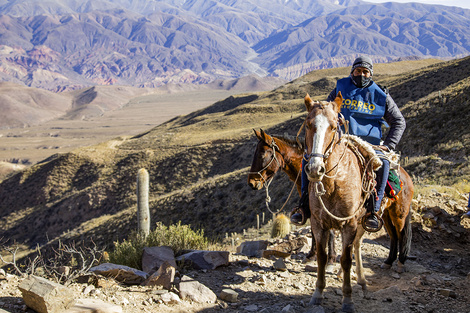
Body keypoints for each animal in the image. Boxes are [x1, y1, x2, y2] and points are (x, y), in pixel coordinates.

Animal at [302, 91, 414, 310]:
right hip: (374, 219)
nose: (315, 169)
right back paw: (366, 279)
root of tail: (405, 175)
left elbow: (346, 259)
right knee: (363, 244)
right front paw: (318, 293)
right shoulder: (319, 224)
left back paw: (398, 264)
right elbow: (322, 257)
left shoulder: (349, 224)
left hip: (397, 215)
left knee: (400, 234)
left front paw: (347, 299)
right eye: (309, 124)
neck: (335, 182)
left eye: (333, 127)